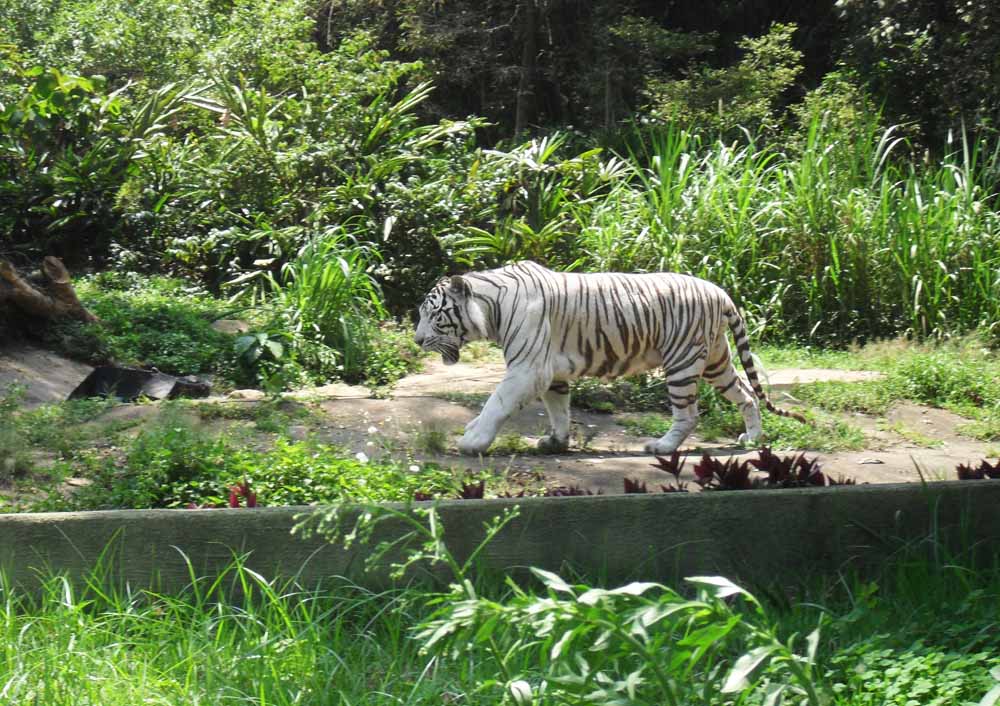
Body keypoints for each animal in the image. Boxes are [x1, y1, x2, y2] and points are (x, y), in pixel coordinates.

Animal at [414, 262, 804, 454]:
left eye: (433, 315)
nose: (417, 340)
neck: (491, 308)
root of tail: (721, 292)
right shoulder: (552, 372)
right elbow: (559, 410)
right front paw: (555, 442)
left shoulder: (527, 369)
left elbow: (495, 403)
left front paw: (473, 441)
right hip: (716, 362)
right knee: (747, 394)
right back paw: (751, 438)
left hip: (681, 363)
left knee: (689, 414)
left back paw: (662, 446)